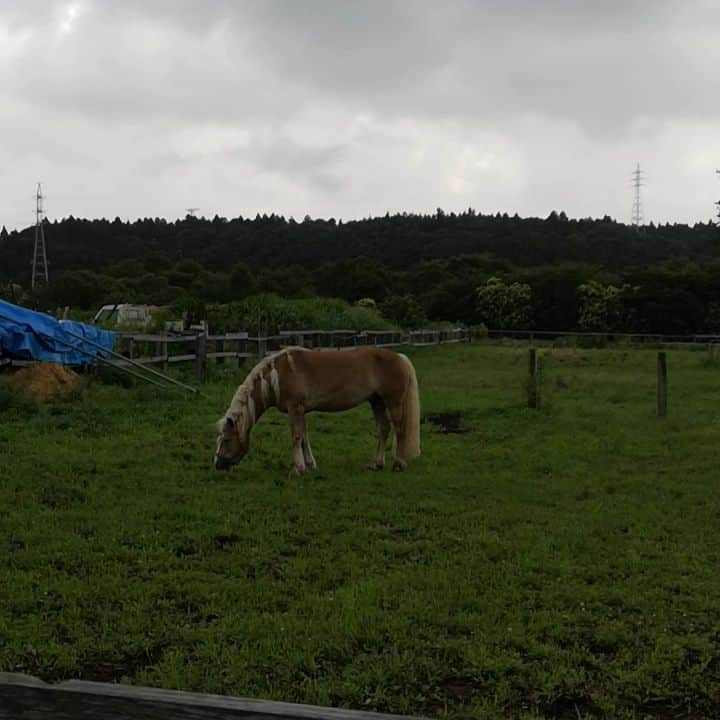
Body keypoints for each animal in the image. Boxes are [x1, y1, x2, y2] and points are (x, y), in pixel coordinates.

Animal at [212, 346, 422, 476]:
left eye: (227, 440)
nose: (217, 464)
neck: (276, 377)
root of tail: (400, 357)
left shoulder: (295, 408)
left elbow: (296, 437)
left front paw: (297, 469)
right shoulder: (301, 411)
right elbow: (304, 437)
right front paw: (309, 465)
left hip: (393, 402)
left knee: (399, 430)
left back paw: (398, 464)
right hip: (376, 402)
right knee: (383, 429)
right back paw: (375, 464)